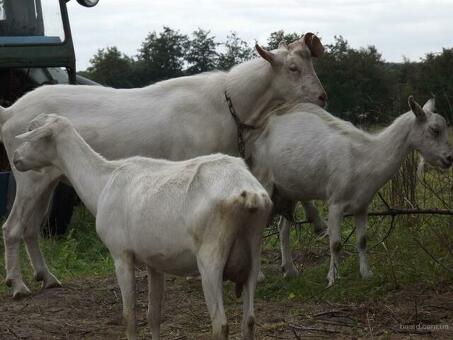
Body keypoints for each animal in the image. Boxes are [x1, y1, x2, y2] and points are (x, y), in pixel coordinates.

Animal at [0, 33, 324, 298]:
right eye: (293, 68)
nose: (322, 97)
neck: (225, 104)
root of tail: (10, 111)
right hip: (27, 177)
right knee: (12, 226)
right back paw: (18, 285)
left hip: (46, 177)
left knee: (31, 228)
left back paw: (47, 277)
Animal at [12, 114, 270, 340]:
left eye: (31, 132)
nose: (15, 158)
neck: (102, 182)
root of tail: (249, 193)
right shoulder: (154, 261)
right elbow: (154, 314)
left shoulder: (120, 254)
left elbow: (130, 316)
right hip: (253, 254)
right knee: (249, 321)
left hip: (211, 256)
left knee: (221, 326)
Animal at [251, 96, 452, 286]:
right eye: (435, 130)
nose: (449, 158)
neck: (365, 157)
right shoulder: (335, 203)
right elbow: (335, 244)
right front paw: (332, 278)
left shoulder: (362, 205)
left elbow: (362, 241)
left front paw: (367, 273)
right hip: (264, 183)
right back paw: (259, 276)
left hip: (289, 191)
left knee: (283, 228)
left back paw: (290, 271)